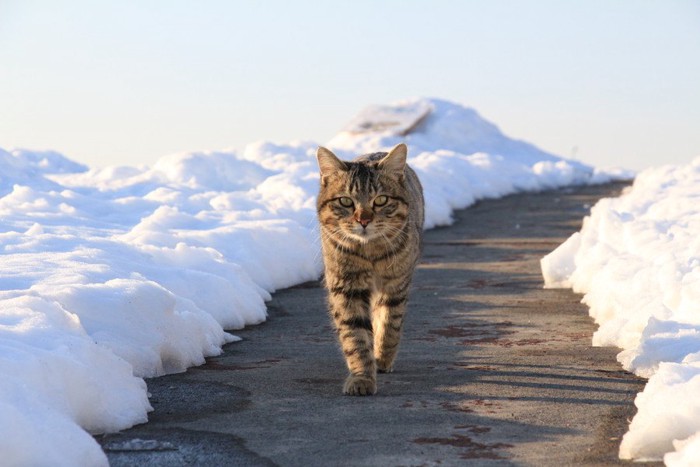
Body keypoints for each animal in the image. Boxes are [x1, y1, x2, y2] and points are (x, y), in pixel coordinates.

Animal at [314, 144, 424, 396]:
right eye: (346, 201)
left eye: (381, 200)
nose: (363, 220)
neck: (370, 252)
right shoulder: (346, 287)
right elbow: (355, 335)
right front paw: (362, 376)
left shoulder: (396, 284)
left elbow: (389, 324)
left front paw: (382, 358)